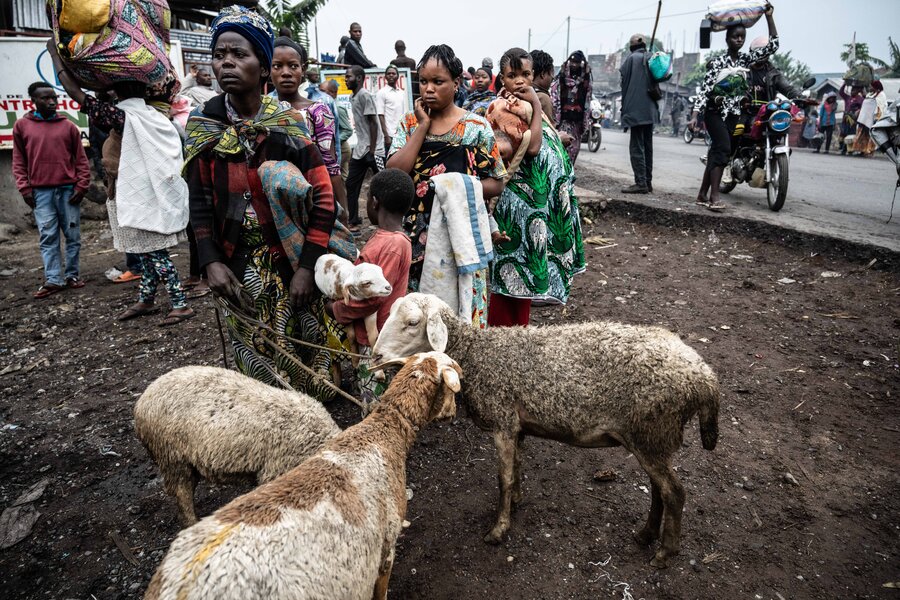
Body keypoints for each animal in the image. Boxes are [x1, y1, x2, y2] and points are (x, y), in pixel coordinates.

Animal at [370, 292, 716, 568]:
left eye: (412, 322)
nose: (375, 356)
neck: (476, 354)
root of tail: (705, 378)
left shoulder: (503, 422)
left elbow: (504, 479)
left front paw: (499, 529)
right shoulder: (517, 426)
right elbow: (517, 468)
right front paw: (517, 502)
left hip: (652, 432)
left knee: (674, 492)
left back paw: (664, 553)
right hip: (654, 437)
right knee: (660, 490)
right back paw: (645, 535)